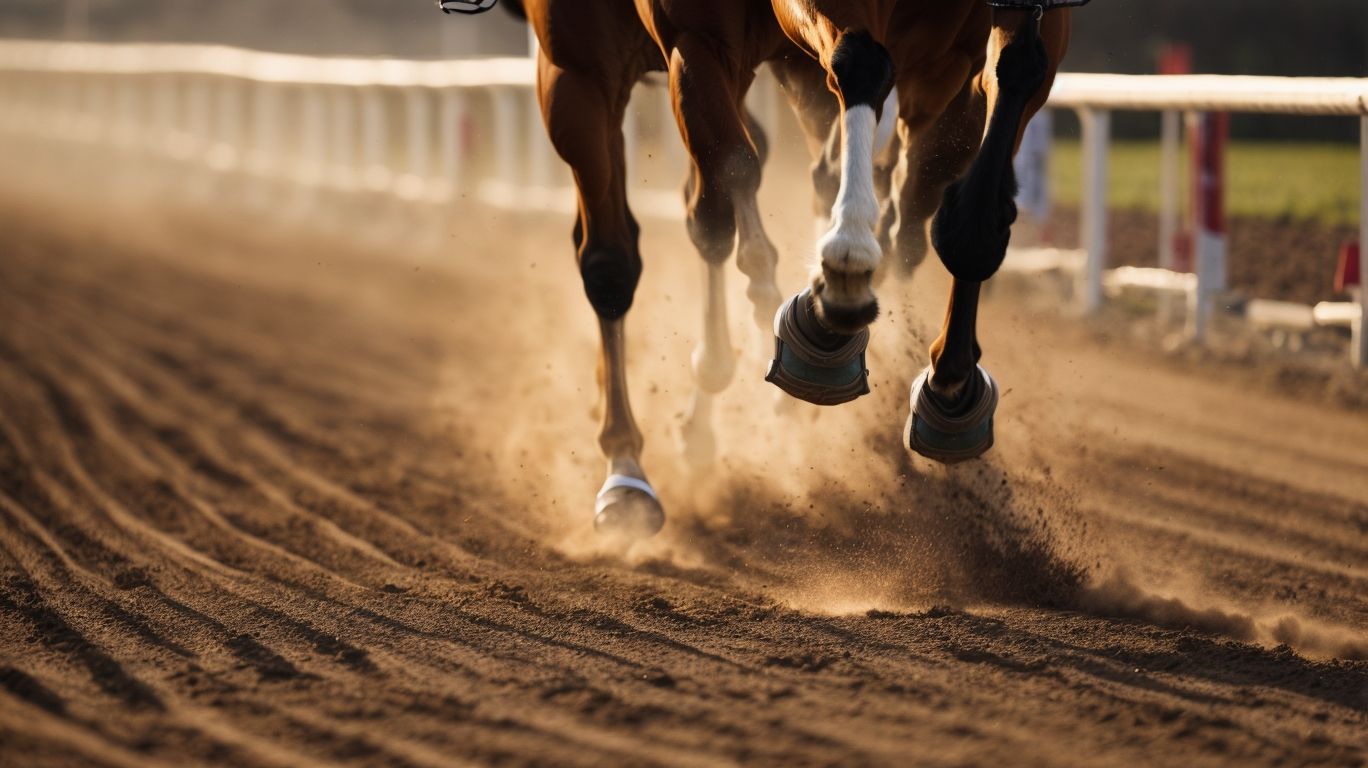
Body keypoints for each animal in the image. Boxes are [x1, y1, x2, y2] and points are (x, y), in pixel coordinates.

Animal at [501, 0, 1077, 538]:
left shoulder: (986, 40)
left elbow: (959, 196)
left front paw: (946, 387)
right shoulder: (695, 38)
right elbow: (825, 95)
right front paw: (826, 293)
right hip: (583, 72)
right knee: (615, 255)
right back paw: (627, 473)